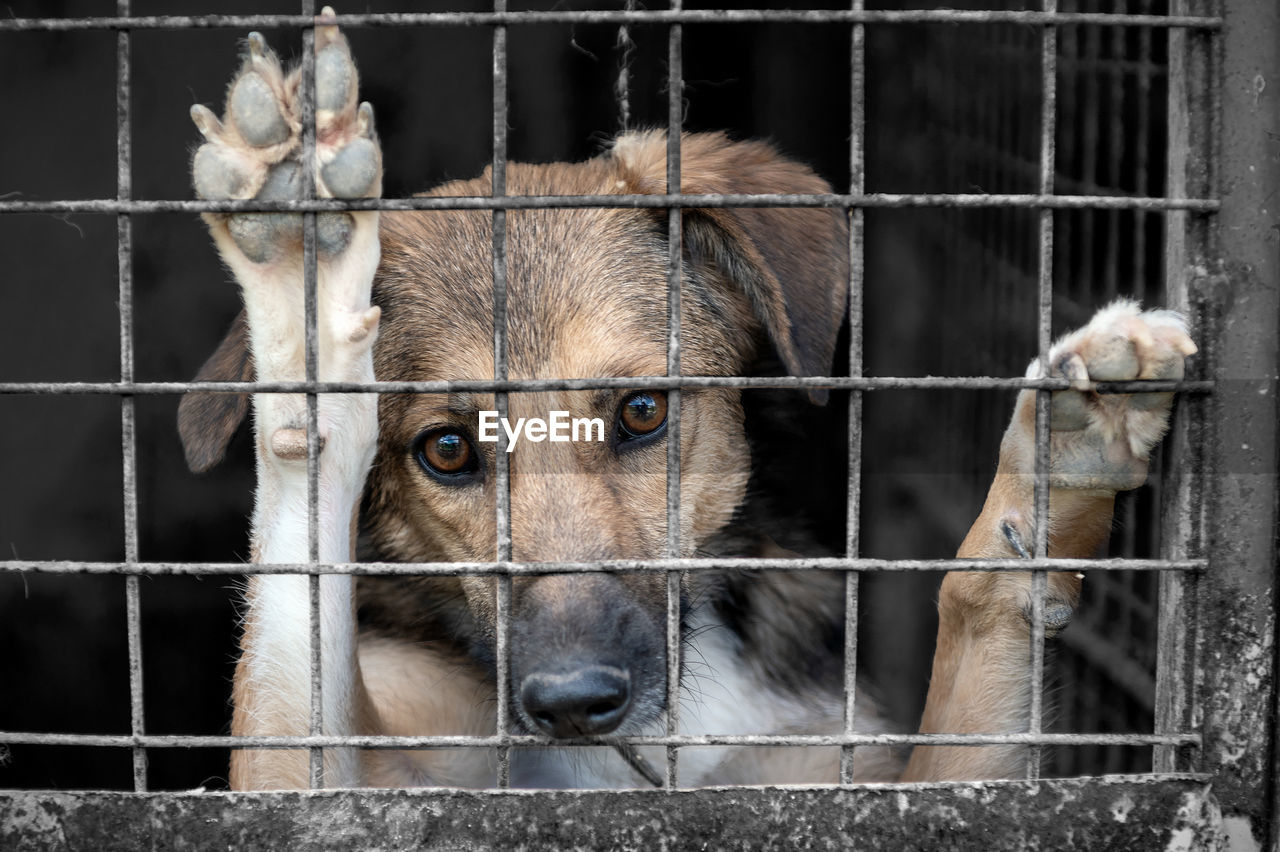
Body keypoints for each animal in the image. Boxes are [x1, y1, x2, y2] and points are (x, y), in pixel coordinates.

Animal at [175, 13, 1192, 788]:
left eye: (641, 412)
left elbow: (977, 603)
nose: (574, 703)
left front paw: (1054, 471)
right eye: (448, 450)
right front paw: (304, 282)